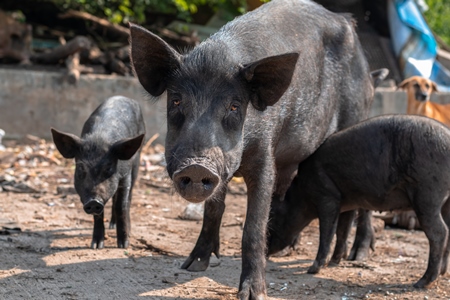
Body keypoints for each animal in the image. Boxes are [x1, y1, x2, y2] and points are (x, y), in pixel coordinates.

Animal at [51, 95, 145, 248]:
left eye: (108, 168)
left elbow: (121, 205)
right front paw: (96, 246)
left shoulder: (125, 175)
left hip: (137, 159)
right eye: (81, 168)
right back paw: (112, 225)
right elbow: (99, 215)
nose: (93, 201)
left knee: (128, 197)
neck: (99, 139)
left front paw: (123, 245)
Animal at [128, 0, 384, 296]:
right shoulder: (222, 167)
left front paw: (254, 294)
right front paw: (192, 266)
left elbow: (253, 225)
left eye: (234, 106)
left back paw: (358, 255)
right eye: (177, 101)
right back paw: (289, 250)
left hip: (356, 118)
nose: (196, 167)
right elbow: (214, 209)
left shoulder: (264, 157)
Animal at [268, 115, 450, 288]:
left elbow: (327, 231)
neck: (300, 190)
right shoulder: (348, 202)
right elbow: (342, 229)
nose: (266, 251)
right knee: (448, 229)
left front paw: (312, 270)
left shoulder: (327, 196)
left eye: (274, 214)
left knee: (440, 232)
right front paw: (334, 262)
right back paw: (442, 273)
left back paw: (421, 283)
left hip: (427, 195)